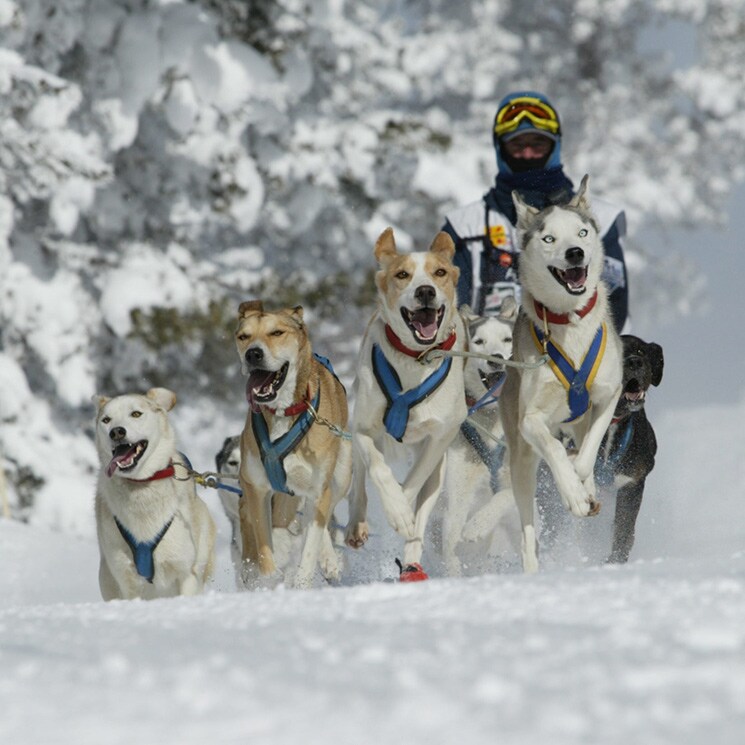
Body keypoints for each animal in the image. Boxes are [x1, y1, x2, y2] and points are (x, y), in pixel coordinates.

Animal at [93, 386, 215, 600]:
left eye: (136, 414)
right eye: (106, 420)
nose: (116, 432)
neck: (142, 484)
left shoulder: (186, 574)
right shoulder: (128, 580)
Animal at [234, 300, 350, 588]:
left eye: (276, 333)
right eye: (243, 336)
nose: (253, 354)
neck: (283, 412)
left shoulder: (319, 489)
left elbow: (310, 546)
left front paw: (302, 583)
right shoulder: (256, 488)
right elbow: (264, 546)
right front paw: (268, 579)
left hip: (340, 477)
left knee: (322, 517)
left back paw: (329, 560)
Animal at [344, 228, 464, 580]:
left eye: (440, 272)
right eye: (402, 275)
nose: (425, 291)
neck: (414, 359)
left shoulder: (440, 437)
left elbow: (412, 483)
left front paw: (401, 509)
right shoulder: (364, 428)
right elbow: (378, 469)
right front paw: (395, 509)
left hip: (439, 470)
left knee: (423, 508)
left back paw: (411, 560)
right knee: (360, 480)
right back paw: (357, 523)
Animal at [438, 300, 520, 572]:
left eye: (507, 339)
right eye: (479, 341)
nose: (496, 360)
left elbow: (503, 496)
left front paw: (477, 525)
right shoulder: (458, 490)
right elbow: (451, 535)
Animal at [500, 177, 620, 572]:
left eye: (582, 232)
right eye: (549, 238)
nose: (575, 254)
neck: (569, 321)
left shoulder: (609, 396)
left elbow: (587, 453)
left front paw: (582, 482)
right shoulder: (530, 420)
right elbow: (554, 449)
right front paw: (572, 494)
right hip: (520, 462)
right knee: (527, 536)